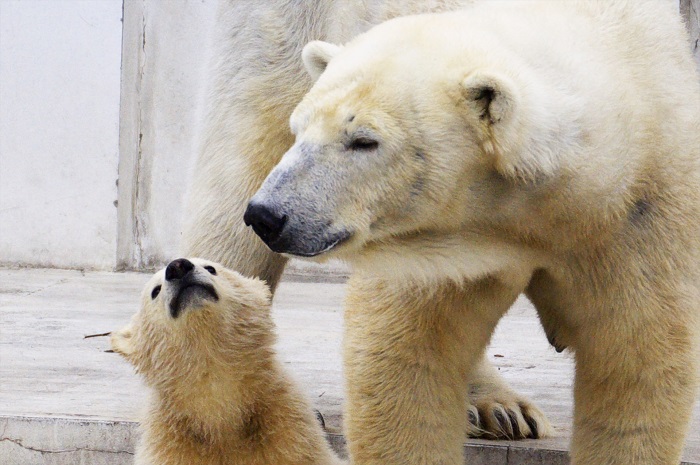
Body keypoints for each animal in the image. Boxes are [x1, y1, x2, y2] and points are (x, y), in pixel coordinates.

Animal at [245, 0, 700, 464]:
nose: (268, 215)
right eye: (300, 130)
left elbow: (635, 365)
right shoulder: (437, 243)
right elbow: (407, 357)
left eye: (364, 140)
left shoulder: (639, 214)